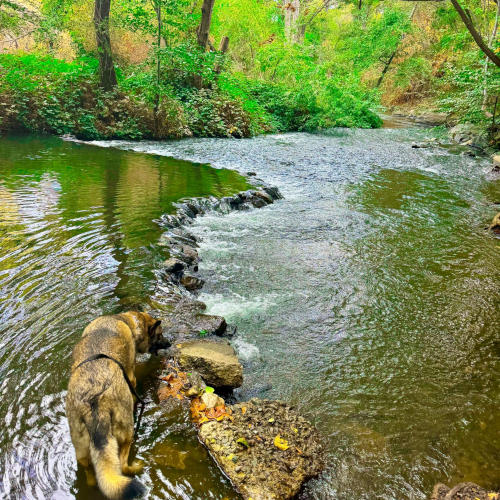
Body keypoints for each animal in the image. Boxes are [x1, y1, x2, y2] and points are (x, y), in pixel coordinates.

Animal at [65, 310, 167, 498]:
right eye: (160, 335)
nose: (169, 343)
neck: (126, 320)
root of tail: (95, 403)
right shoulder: (131, 377)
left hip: (81, 448)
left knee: (92, 476)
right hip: (126, 432)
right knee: (123, 465)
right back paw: (136, 467)